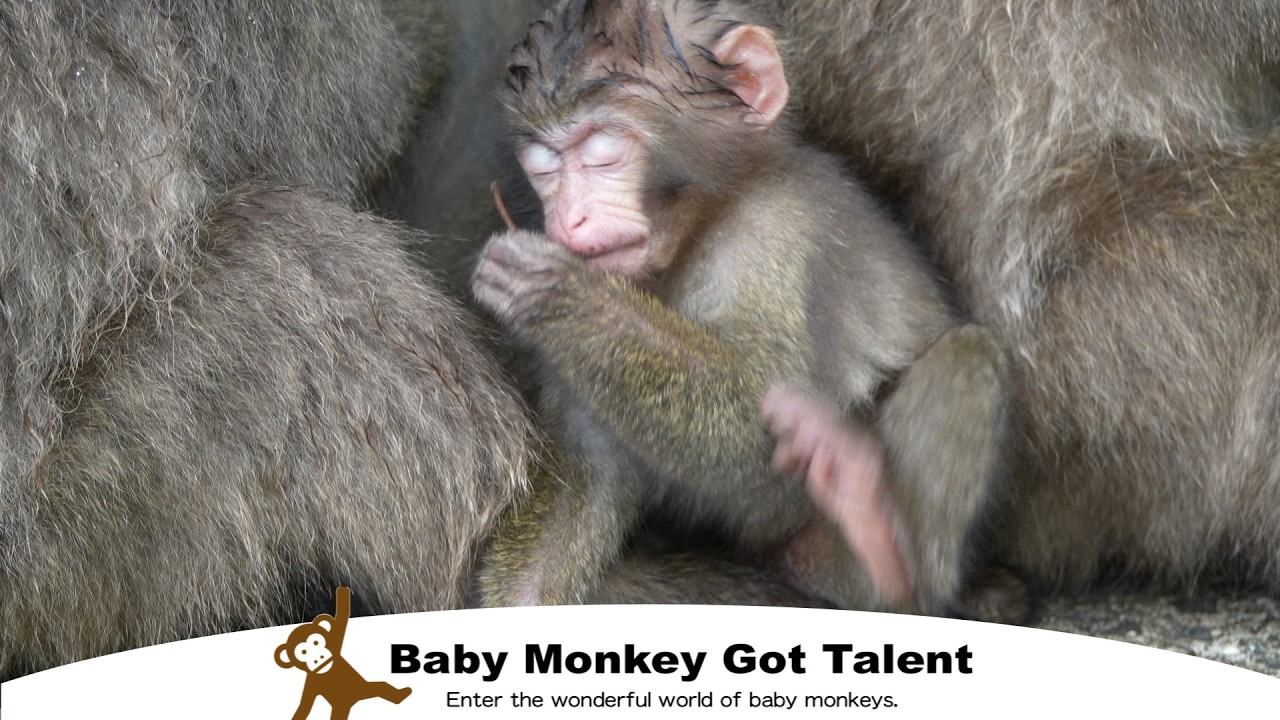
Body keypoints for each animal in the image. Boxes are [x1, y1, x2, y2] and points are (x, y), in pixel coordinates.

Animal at [470, 0, 1008, 614]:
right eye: (544, 168)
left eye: (603, 156)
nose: (566, 219)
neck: (700, 227)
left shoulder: (773, 236)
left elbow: (764, 418)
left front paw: (561, 293)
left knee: (966, 356)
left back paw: (881, 556)